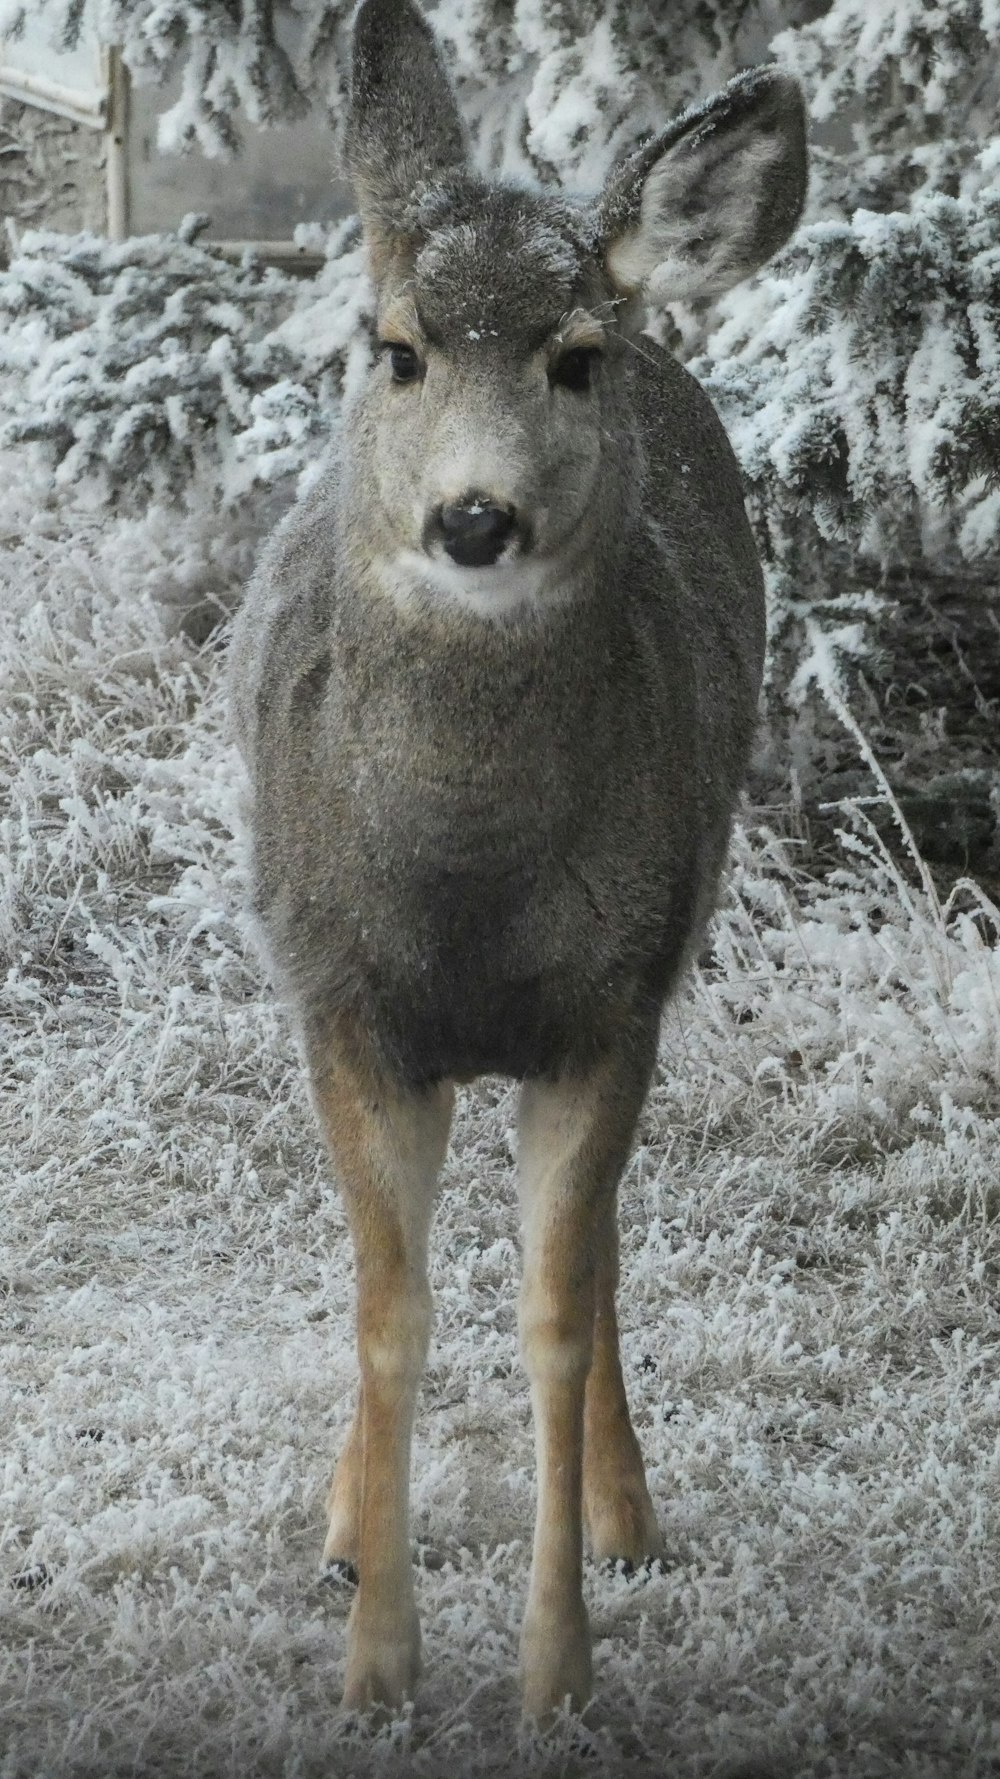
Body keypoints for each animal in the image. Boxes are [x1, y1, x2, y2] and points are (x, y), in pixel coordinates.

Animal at [229, 0, 804, 1722]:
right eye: (399, 346)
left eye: (574, 358)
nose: (474, 517)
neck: (467, 892)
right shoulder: (345, 1000)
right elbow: (389, 1312)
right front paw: (378, 1658)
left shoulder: (607, 1002)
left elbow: (553, 1308)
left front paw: (559, 1670)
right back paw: (344, 1522)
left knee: (600, 1254)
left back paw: (627, 1512)